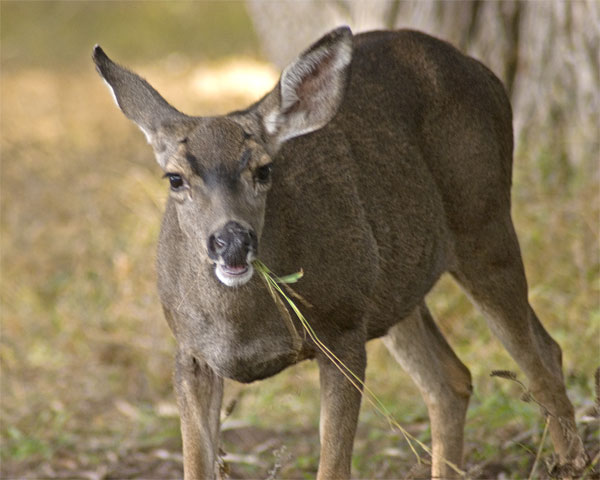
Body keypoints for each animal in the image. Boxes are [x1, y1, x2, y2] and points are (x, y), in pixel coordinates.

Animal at [92, 27, 584, 480]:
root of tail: (487, 73)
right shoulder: (190, 353)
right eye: (174, 178)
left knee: (541, 357)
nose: (232, 240)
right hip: (394, 284)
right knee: (453, 379)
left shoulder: (343, 328)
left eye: (263, 170)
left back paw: (573, 463)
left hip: (483, 222)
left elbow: (333, 467)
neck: (243, 330)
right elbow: (196, 467)